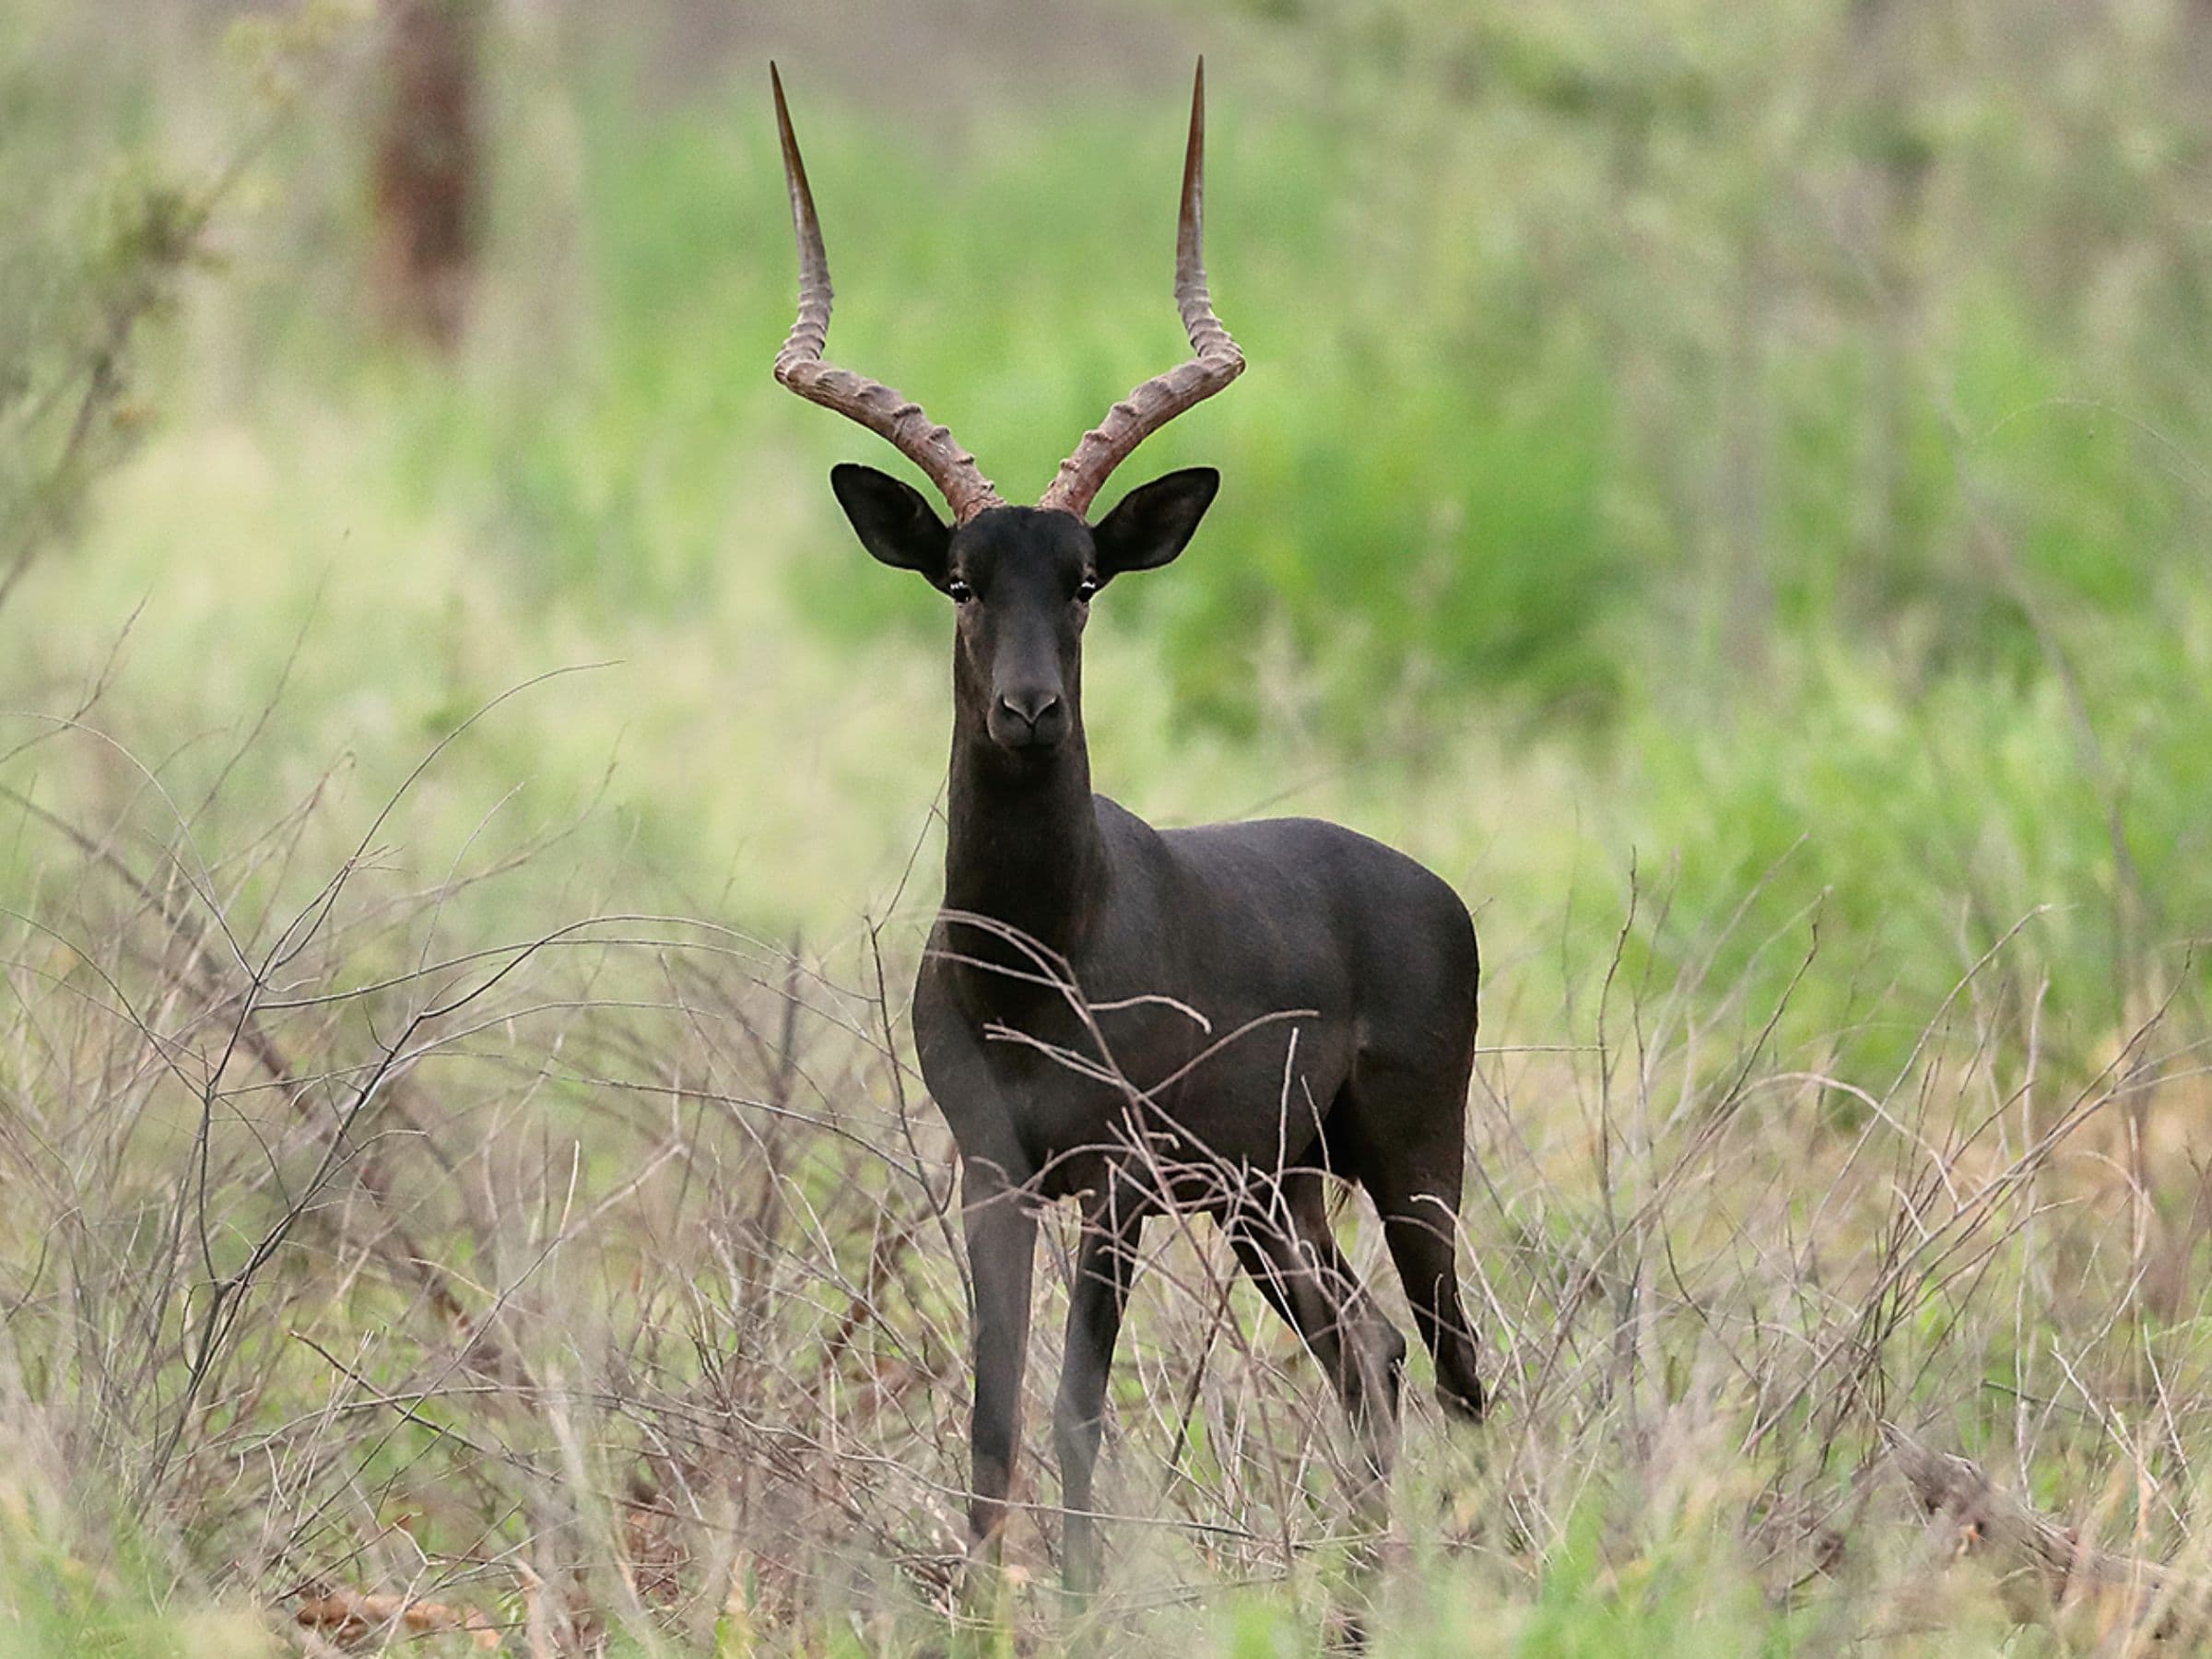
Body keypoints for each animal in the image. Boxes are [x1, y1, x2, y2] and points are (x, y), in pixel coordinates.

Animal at [770, 62, 1485, 1596]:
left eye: (1087, 577)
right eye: (963, 580)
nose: (1031, 710)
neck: (1039, 952)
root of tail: (1423, 884)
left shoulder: (1115, 1185)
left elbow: (1076, 1407)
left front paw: (1081, 1597)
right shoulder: (992, 1171)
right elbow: (993, 1409)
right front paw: (983, 1599)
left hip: (1409, 1168)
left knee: (1454, 1366)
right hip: (1274, 1196)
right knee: (1372, 1355)